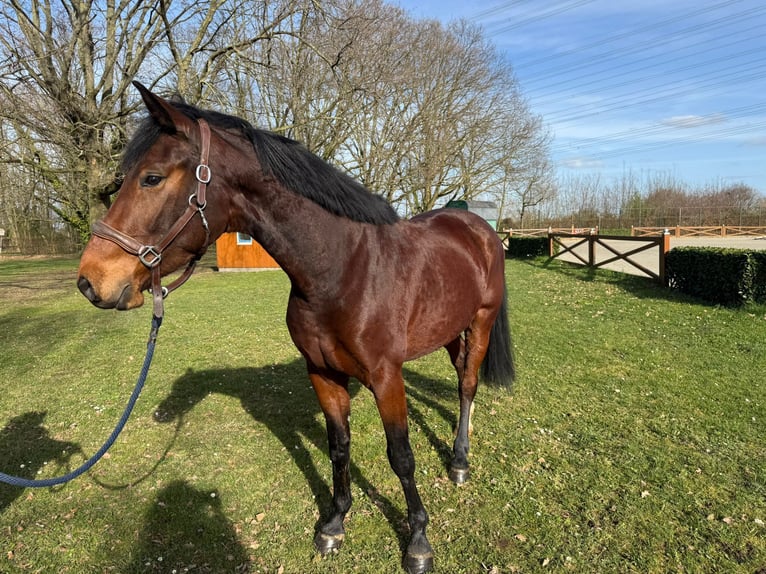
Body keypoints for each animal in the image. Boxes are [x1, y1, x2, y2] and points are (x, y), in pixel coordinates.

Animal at [77, 82, 514, 574]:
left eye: (151, 178)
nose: (90, 281)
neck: (341, 270)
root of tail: (477, 227)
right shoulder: (322, 373)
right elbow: (339, 447)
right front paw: (335, 523)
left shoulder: (387, 377)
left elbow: (401, 457)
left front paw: (418, 539)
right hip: (448, 331)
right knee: (460, 377)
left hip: (481, 323)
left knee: (468, 384)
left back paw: (459, 461)